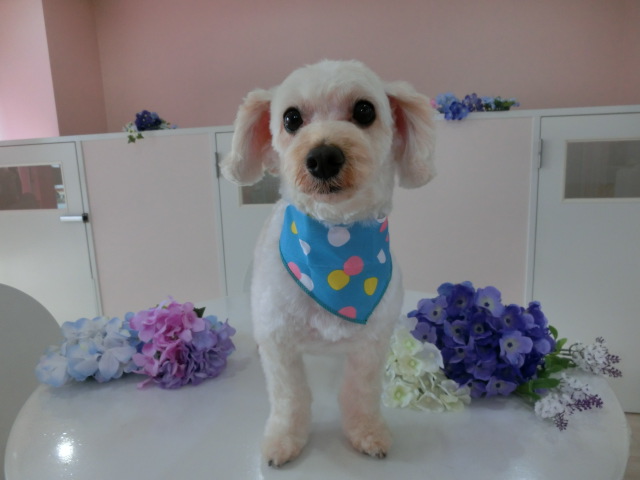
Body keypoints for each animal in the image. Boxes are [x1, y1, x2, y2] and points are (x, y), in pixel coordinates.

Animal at [221, 59, 435, 467]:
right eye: (290, 118)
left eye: (365, 110)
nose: (323, 157)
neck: (336, 246)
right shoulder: (280, 343)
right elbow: (289, 398)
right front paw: (284, 439)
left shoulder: (371, 345)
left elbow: (360, 393)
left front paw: (366, 432)